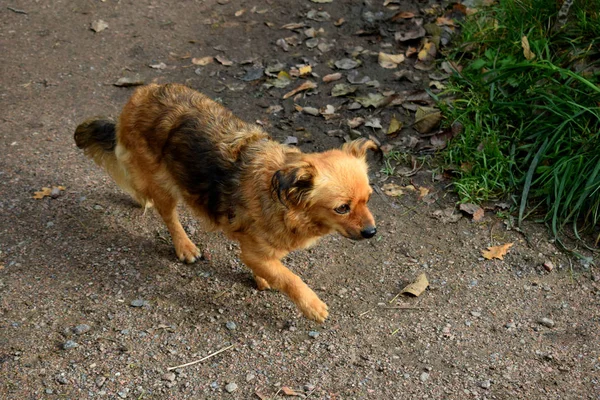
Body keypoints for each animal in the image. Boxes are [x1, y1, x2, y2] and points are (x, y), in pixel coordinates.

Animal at [74, 83, 376, 322]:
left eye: (368, 199)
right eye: (342, 208)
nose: (372, 232)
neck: (283, 199)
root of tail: (139, 95)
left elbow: (273, 268)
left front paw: (263, 278)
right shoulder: (253, 252)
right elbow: (289, 277)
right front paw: (312, 305)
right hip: (164, 184)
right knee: (168, 216)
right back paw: (184, 246)